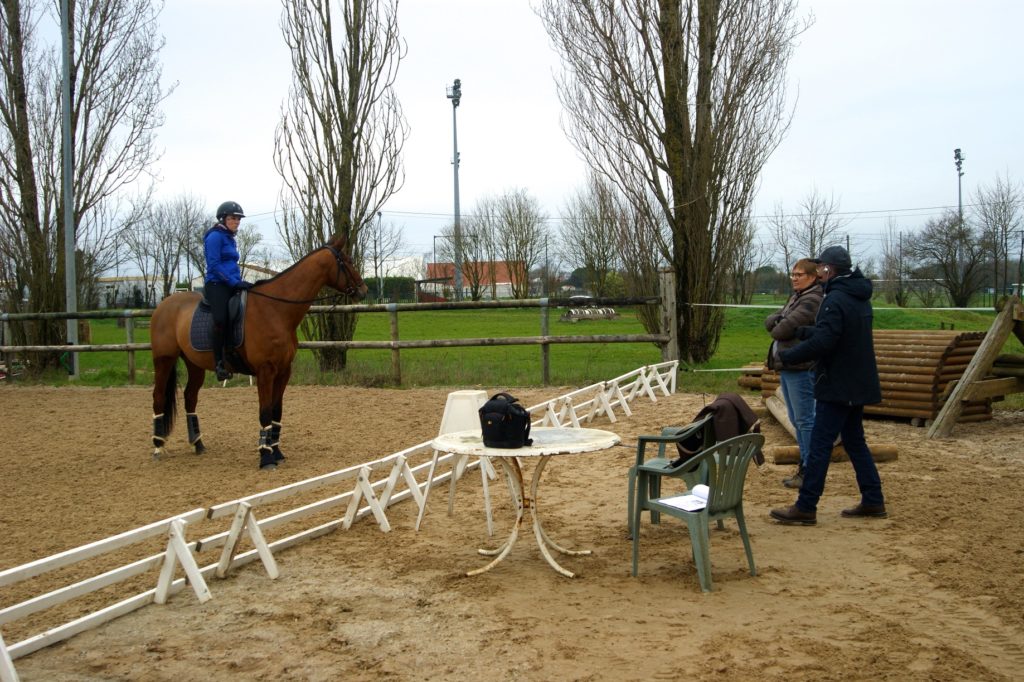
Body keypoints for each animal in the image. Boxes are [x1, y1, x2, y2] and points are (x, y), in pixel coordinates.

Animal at [151, 233, 368, 466]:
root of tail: (164, 304)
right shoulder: (265, 371)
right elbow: (264, 412)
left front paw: (277, 451)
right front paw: (265, 456)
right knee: (158, 397)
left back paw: (198, 444)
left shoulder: (283, 371)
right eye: (348, 261)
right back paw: (157, 446)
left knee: (190, 397)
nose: (364, 290)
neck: (276, 310)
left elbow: (276, 411)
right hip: (164, 360)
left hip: (195, 364)